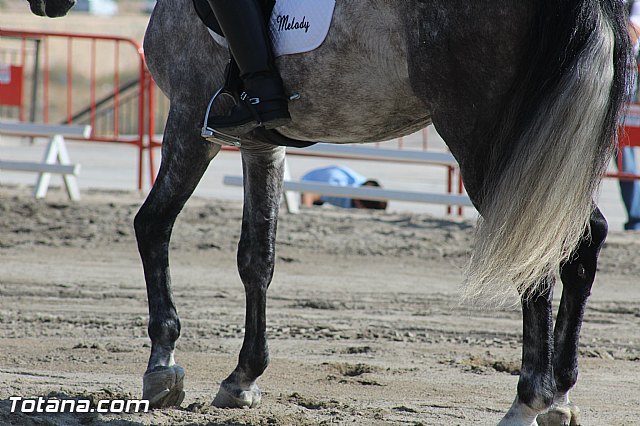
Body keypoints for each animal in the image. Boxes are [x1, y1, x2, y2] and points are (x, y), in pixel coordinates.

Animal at [26, 0, 632, 424]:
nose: (46, 9)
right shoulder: (260, 144)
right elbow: (257, 258)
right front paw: (243, 378)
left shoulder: (187, 121)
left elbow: (151, 225)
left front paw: (162, 367)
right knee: (583, 243)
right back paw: (560, 394)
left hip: (493, 144)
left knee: (537, 255)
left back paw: (528, 399)